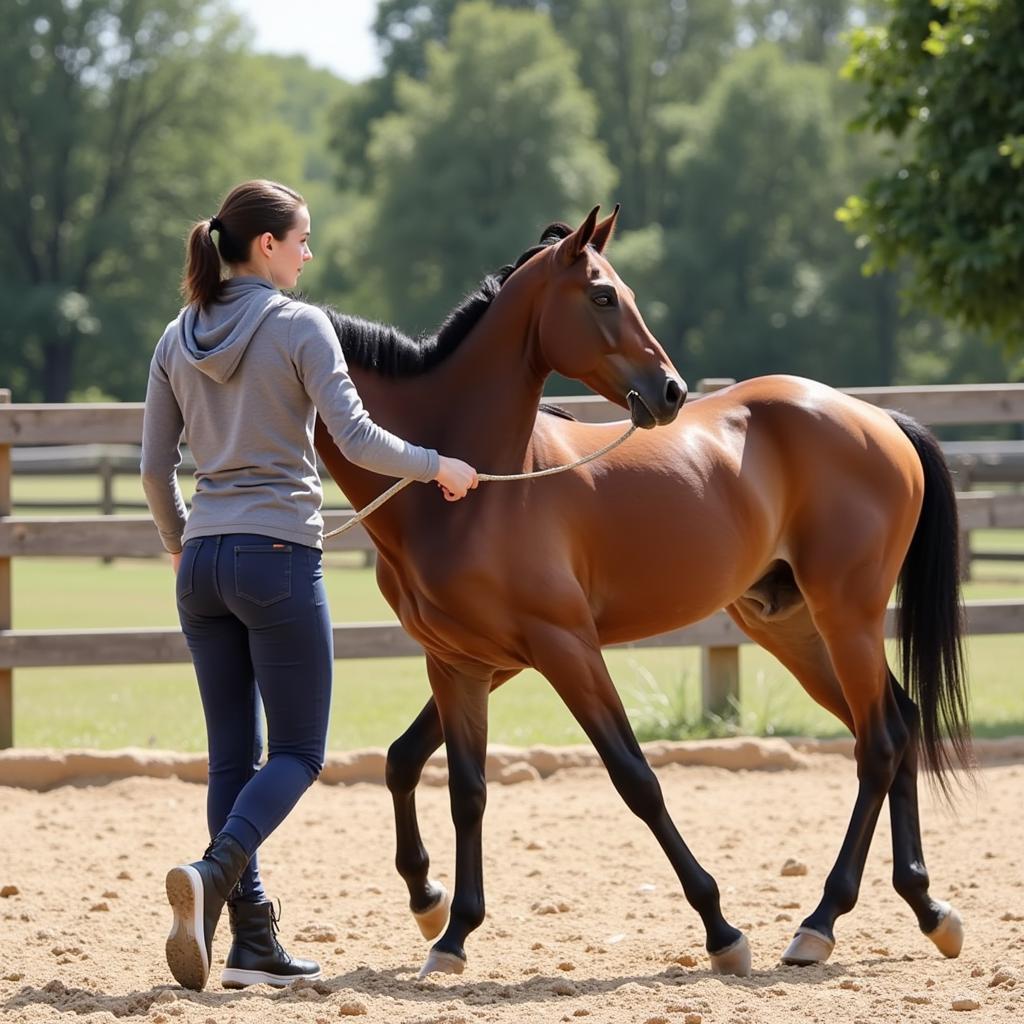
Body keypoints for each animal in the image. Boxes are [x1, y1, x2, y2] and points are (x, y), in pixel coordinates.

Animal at [311, 205, 966, 974]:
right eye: (602, 296)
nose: (671, 392)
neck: (471, 482)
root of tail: (880, 420)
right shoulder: (465, 662)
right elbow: (449, 781)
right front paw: (446, 923)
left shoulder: (565, 648)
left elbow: (636, 779)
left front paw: (722, 931)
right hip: (795, 627)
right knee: (900, 723)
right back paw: (925, 909)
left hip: (848, 618)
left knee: (880, 743)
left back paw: (820, 921)